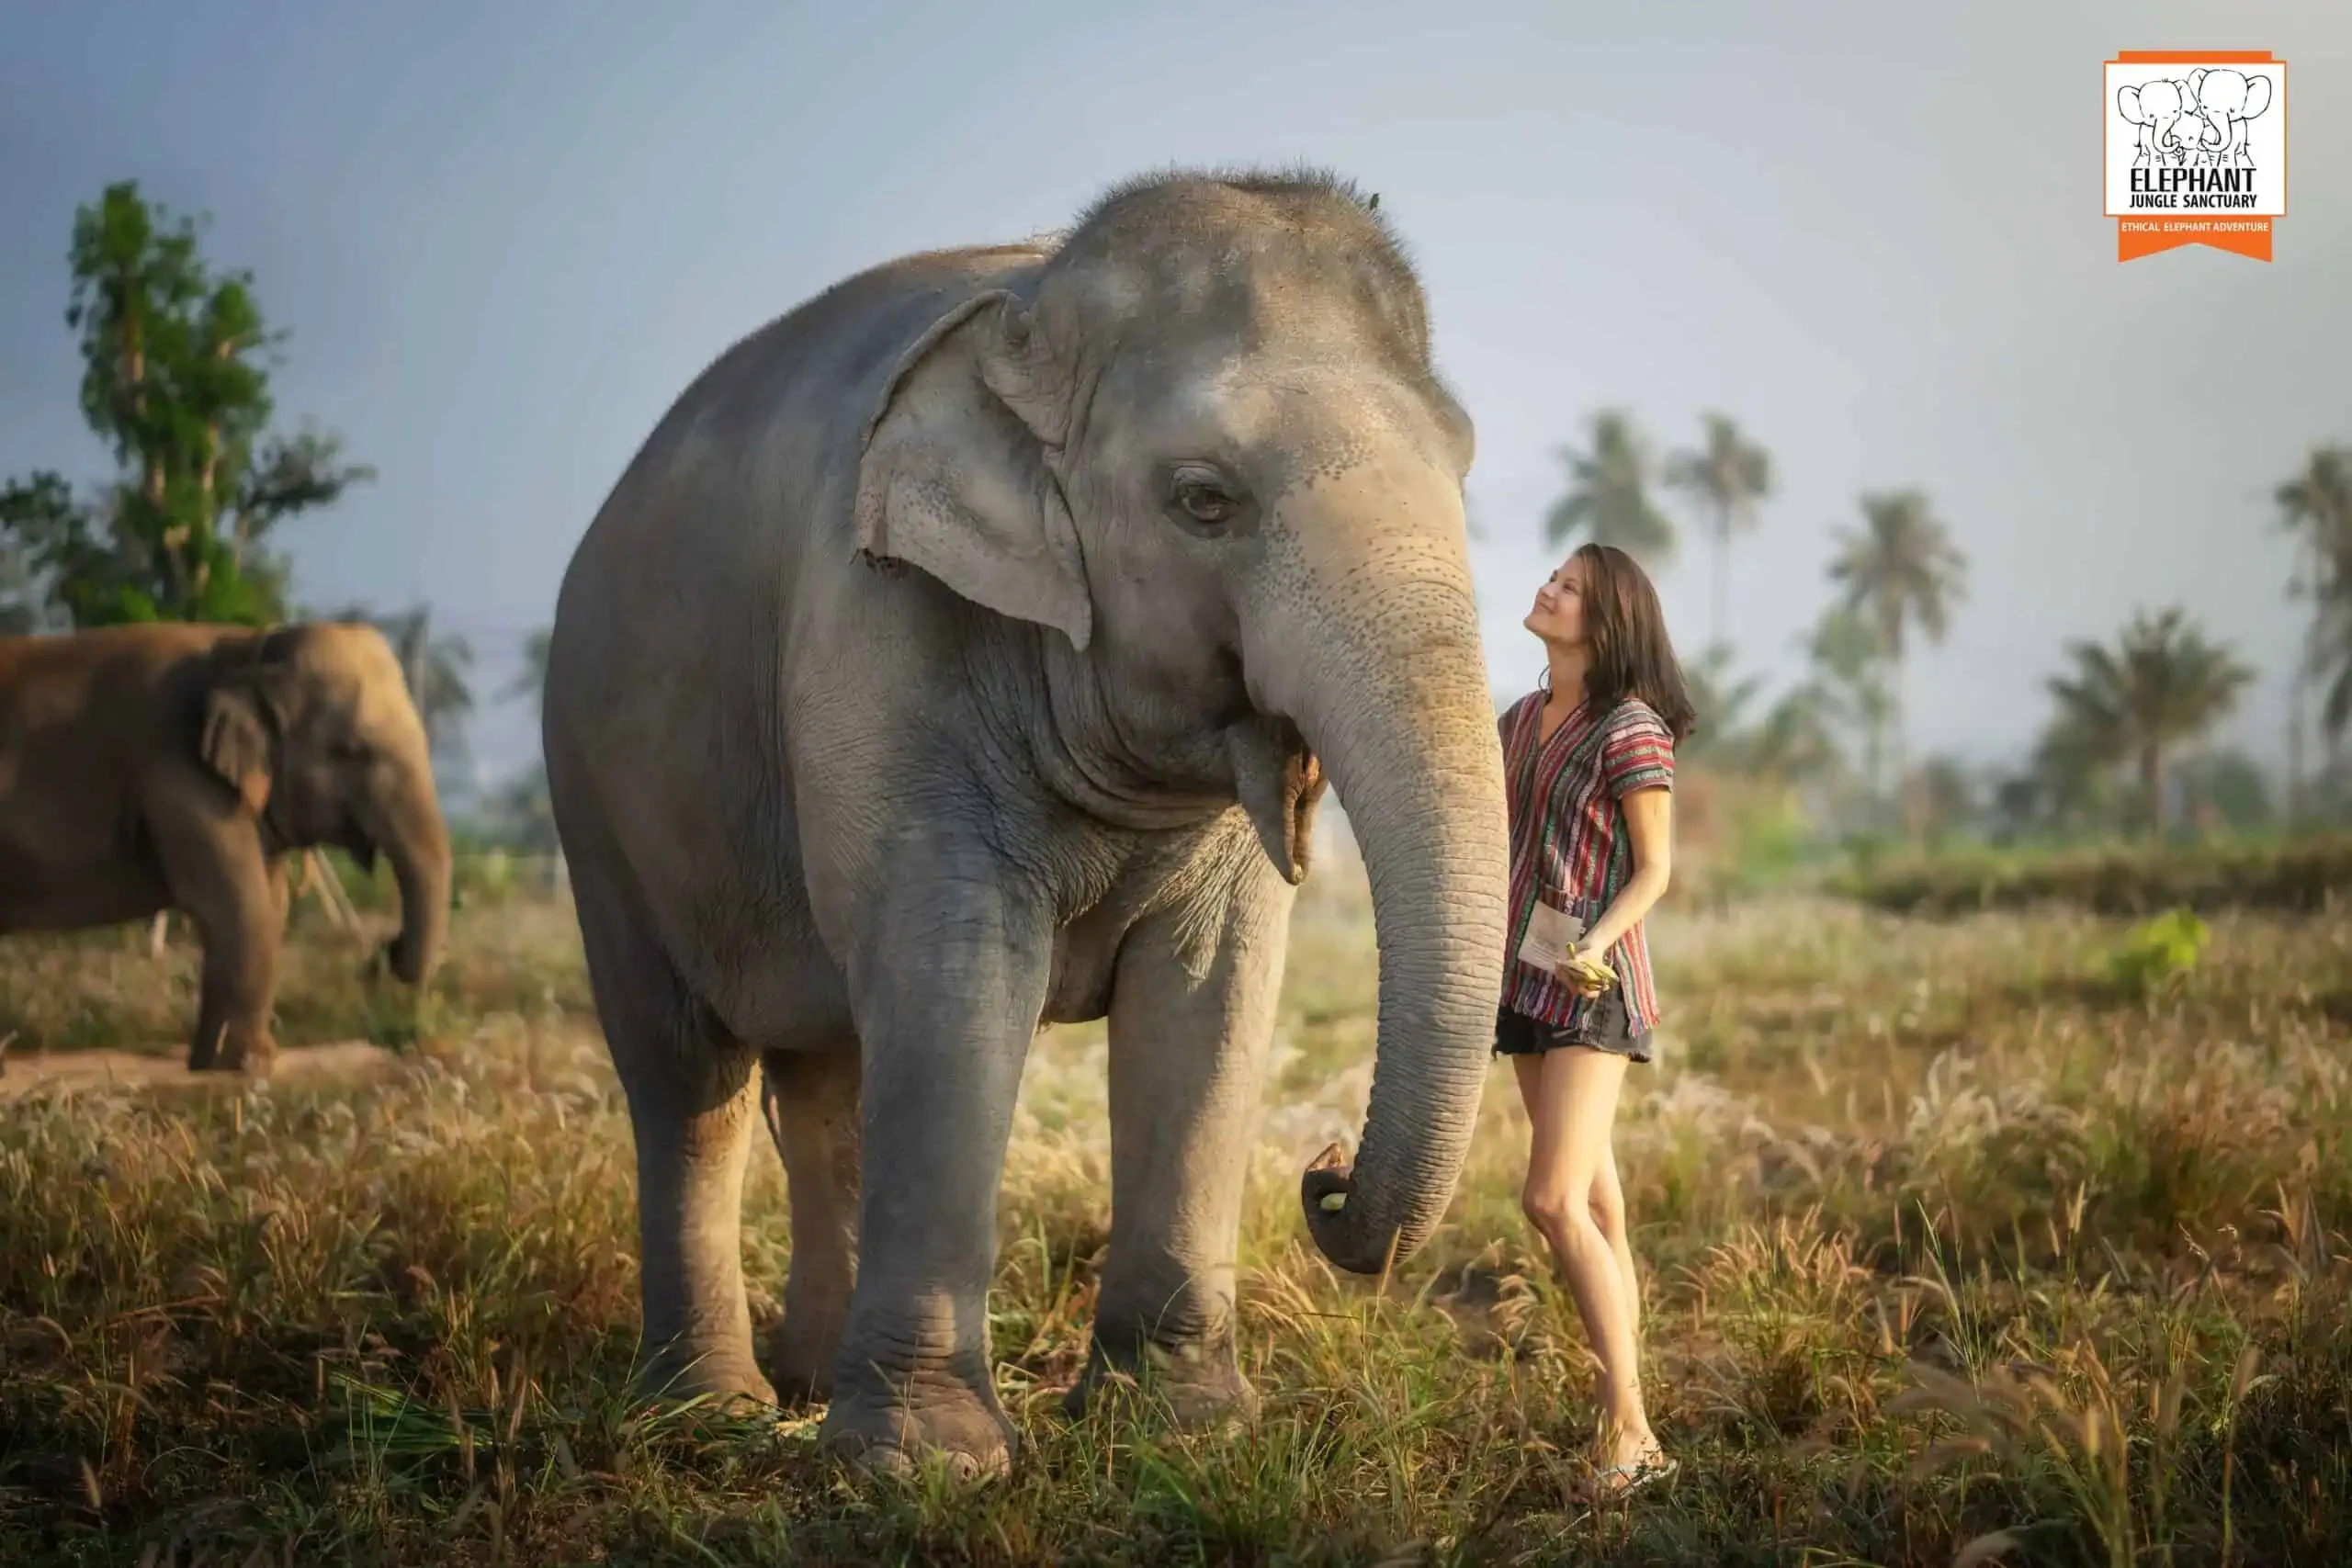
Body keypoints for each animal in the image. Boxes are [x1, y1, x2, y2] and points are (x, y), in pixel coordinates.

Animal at [0, 620, 452, 1071]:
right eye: (349, 751)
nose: (384, 953)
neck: (249, 649)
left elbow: (271, 903)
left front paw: (208, 1064)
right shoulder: (181, 781)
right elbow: (237, 904)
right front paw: (250, 1063)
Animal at [540, 166, 1511, 1478]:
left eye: (1460, 471)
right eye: (1203, 501)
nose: (1322, 1173)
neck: (1036, 305)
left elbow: (1208, 998)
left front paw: (1182, 1430)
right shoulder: (880, 637)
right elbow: (956, 981)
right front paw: (928, 1469)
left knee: (828, 1071)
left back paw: (808, 1382)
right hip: (596, 799)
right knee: (687, 1076)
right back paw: (711, 1412)